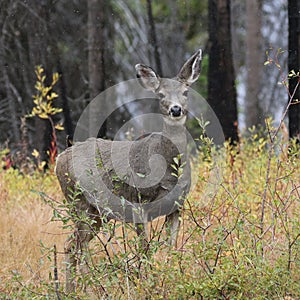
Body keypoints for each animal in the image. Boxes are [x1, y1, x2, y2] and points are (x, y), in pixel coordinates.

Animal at [55, 48, 203, 290]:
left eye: (185, 91)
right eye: (160, 94)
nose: (176, 109)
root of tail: (59, 158)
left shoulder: (177, 206)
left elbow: (171, 248)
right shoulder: (139, 203)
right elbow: (145, 249)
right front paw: (148, 282)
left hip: (96, 213)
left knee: (75, 245)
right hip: (78, 202)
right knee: (71, 246)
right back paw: (75, 289)